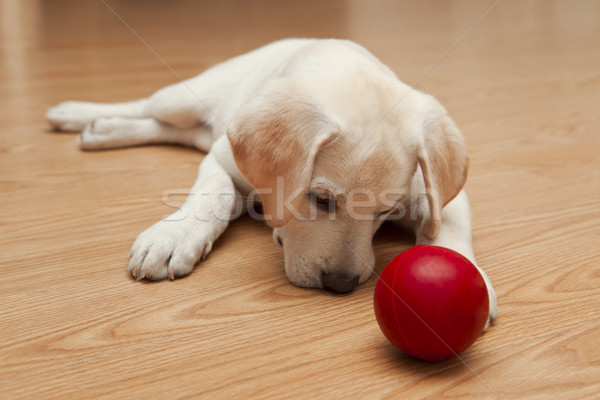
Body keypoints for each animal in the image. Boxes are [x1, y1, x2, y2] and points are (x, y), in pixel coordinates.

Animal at [47, 36, 496, 324]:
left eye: (386, 211)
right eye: (320, 198)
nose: (341, 284)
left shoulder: (438, 193)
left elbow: (447, 225)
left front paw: (468, 276)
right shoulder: (221, 158)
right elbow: (215, 193)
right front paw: (174, 236)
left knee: (172, 130)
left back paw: (103, 130)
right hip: (183, 98)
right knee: (149, 107)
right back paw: (83, 117)